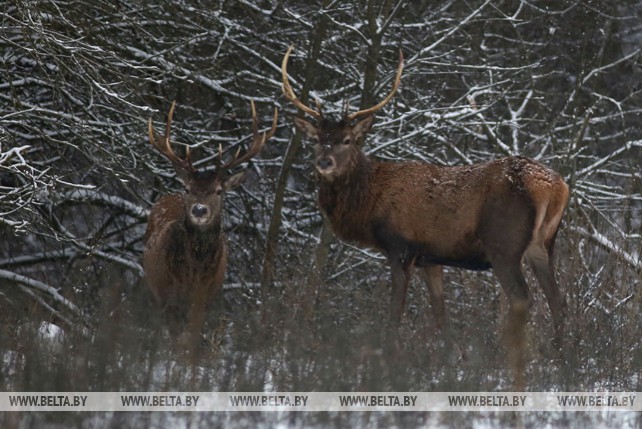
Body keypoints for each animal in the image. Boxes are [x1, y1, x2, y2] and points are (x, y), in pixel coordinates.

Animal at [142, 99, 276, 332]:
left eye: (219, 191)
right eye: (188, 188)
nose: (199, 210)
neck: (193, 275)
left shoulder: (205, 299)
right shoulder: (169, 298)